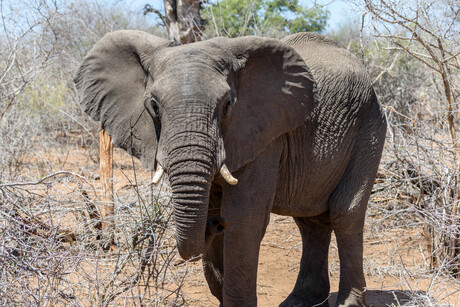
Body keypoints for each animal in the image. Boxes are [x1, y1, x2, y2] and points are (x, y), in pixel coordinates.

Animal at [73, 29, 386, 307]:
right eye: (154, 105)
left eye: (227, 105)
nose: (214, 223)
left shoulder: (263, 135)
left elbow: (244, 218)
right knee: (310, 220)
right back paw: (299, 302)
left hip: (369, 127)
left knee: (344, 213)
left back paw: (347, 304)